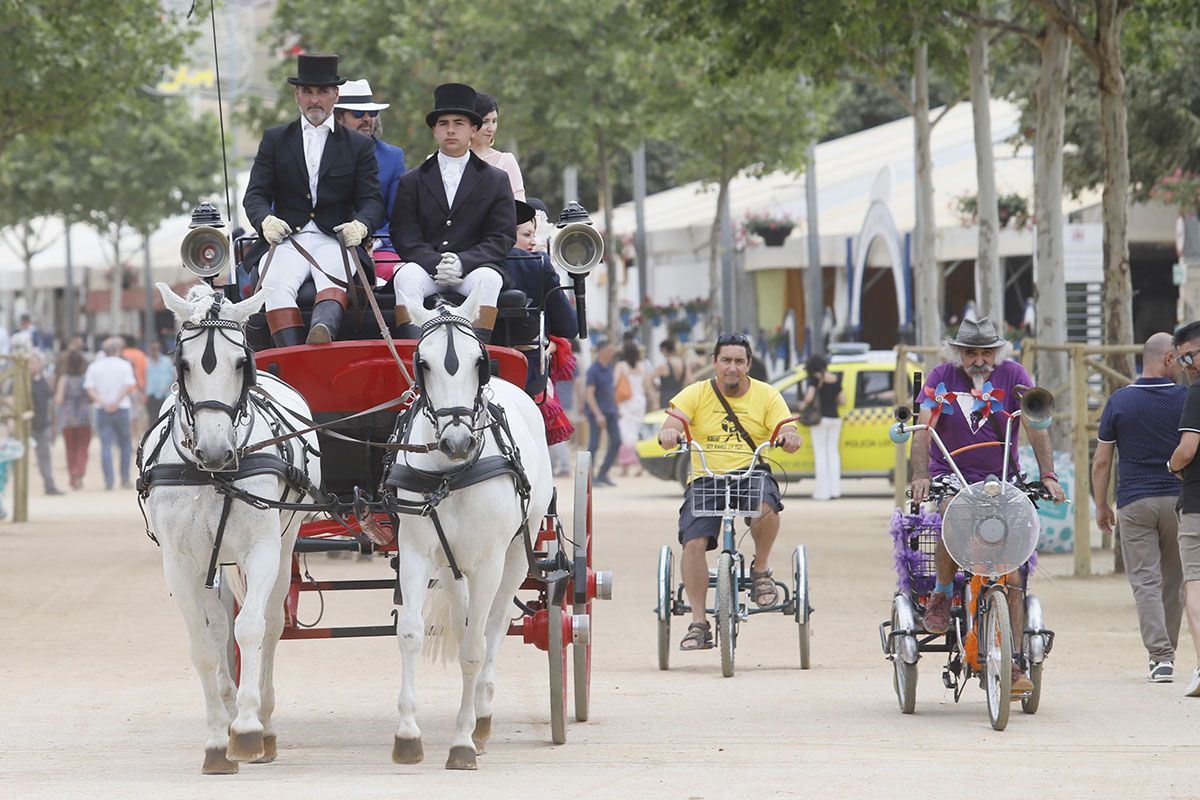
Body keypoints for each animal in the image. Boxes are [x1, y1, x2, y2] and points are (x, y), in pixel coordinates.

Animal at [144, 283, 324, 777]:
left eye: (242, 362)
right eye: (183, 364)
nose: (215, 450)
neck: (211, 476)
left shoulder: (261, 550)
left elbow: (252, 629)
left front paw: (246, 729)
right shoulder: (180, 564)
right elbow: (206, 645)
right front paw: (216, 739)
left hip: (284, 543)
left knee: (272, 624)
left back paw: (262, 723)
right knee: (219, 622)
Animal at [386, 286, 554, 767]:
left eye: (481, 361)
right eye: (422, 363)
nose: (457, 441)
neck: (451, 473)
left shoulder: (489, 561)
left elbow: (476, 650)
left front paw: (462, 741)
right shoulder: (417, 552)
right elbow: (410, 634)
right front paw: (407, 735)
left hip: (516, 556)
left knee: (492, 628)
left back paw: (481, 717)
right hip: (451, 564)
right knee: (465, 624)